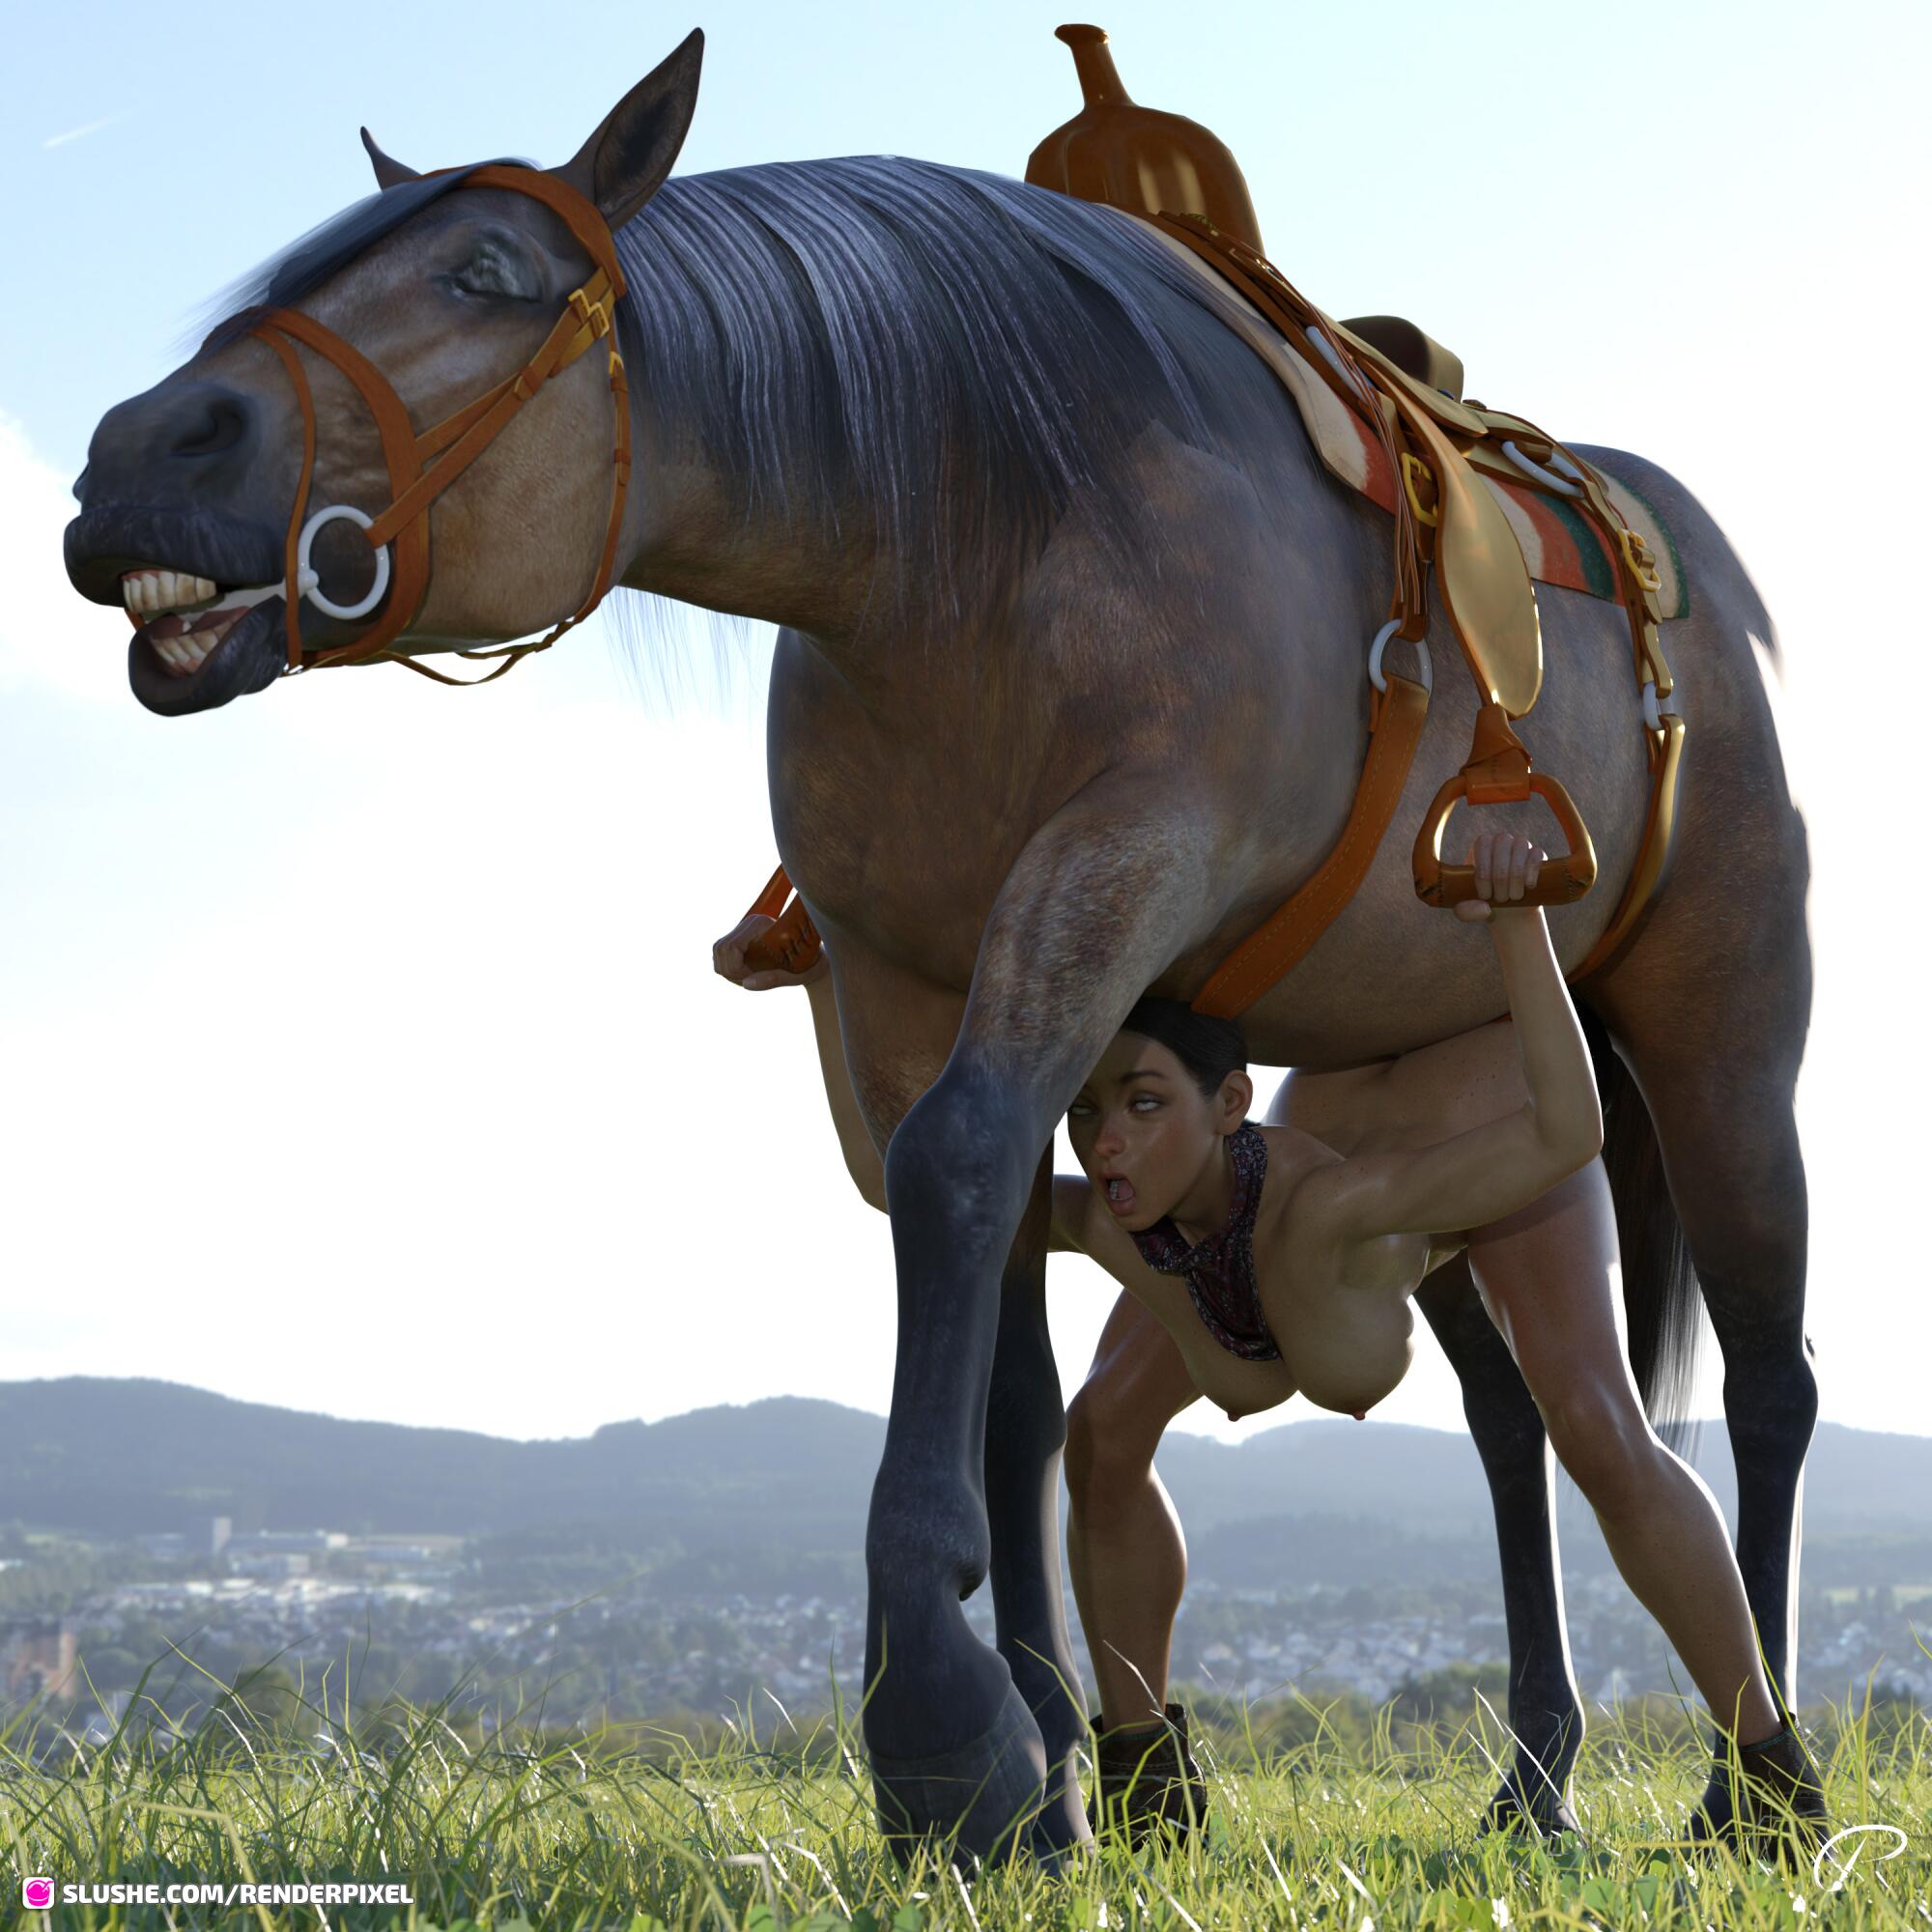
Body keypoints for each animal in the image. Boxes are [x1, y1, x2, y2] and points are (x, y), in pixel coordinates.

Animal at [63, 32, 1816, 1863]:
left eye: (485, 272)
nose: (136, 451)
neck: (984, 539)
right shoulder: (905, 978)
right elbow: (1002, 1333)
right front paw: (1053, 1764)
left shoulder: (1115, 875)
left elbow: (956, 1169)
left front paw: (935, 1711)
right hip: (1433, 1091)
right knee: (1509, 1412)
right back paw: (1537, 1774)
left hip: (1726, 1041)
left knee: (1763, 1379)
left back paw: (1755, 1779)